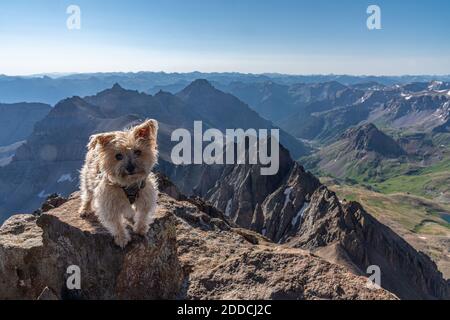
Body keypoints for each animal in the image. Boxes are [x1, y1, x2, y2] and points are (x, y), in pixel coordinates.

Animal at [78, 119, 158, 248]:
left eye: (138, 152)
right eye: (118, 156)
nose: (130, 168)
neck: (129, 184)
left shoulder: (146, 195)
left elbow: (143, 214)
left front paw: (140, 228)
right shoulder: (109, 203)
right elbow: (116, 223)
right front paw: (122, 238)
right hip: (88, 178)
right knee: (88, 195)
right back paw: (85, 209)